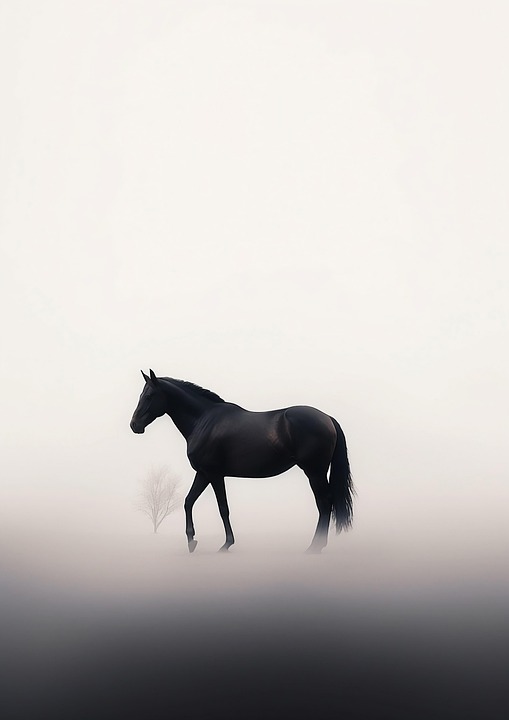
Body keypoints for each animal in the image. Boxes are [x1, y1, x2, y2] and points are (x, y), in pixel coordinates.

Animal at [130, 370, 354, 553]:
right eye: (141, 395)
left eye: (149, 396)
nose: (134, 425)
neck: (203, 420)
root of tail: (327, 418)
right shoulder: (203, 473)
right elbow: (188, 501)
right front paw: (192, 541)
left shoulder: (214, 474)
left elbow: (223, 508)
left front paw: (226, 544)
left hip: (314, 472)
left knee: (324, 503)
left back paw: (314, 546)